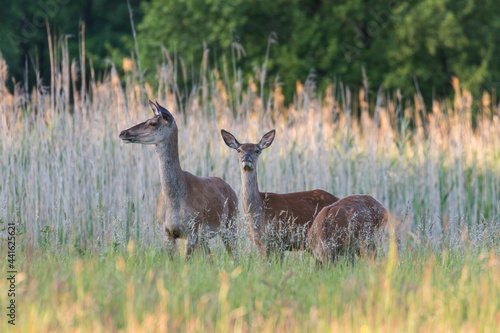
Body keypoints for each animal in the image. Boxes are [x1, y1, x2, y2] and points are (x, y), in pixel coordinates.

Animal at [120, 100, 239, 255]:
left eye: (152, 123)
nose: (123, 132)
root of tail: (232, 190)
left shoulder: (192, 229)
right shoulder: (165, 231)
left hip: (230, 224)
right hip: (206, 235)